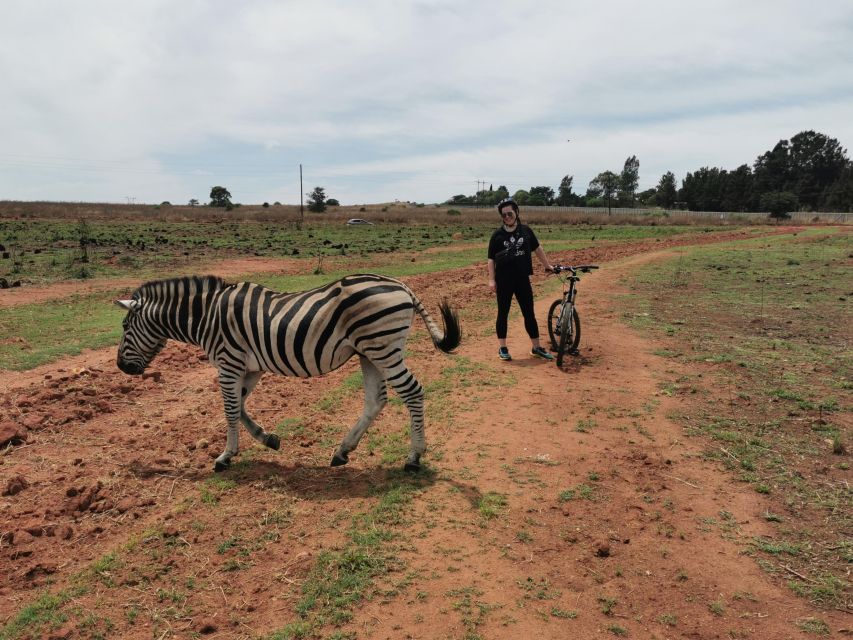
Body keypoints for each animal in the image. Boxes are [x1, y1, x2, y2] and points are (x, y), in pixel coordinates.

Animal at [115, 272, 460, 472]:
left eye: (125, 326)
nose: (121, 367)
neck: (207, 315)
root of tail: (400, 284)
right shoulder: (249, 367)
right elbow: (240, 406)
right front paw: (269, 439)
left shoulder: (229, 362)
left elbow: (230, 409)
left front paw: (225, 456)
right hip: (369, 352)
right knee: (376, 401)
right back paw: (342, 452)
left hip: (383, 348)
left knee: (413, 392)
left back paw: (414, 457)